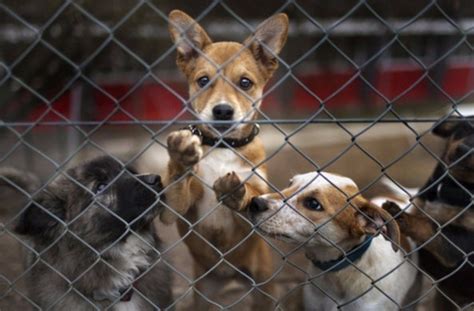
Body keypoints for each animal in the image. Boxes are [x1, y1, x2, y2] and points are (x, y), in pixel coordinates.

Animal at [161, 9, 288, 310]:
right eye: (203, 80)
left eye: (245, 83)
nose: (222, 111)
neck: (223, 147)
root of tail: (229, 277)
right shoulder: (174, 209)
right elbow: (178, 182)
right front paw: (182, 157)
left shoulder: (253, 216)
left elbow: (250, 193)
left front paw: (235, 190)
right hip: (203, 293)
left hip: (264, 288)